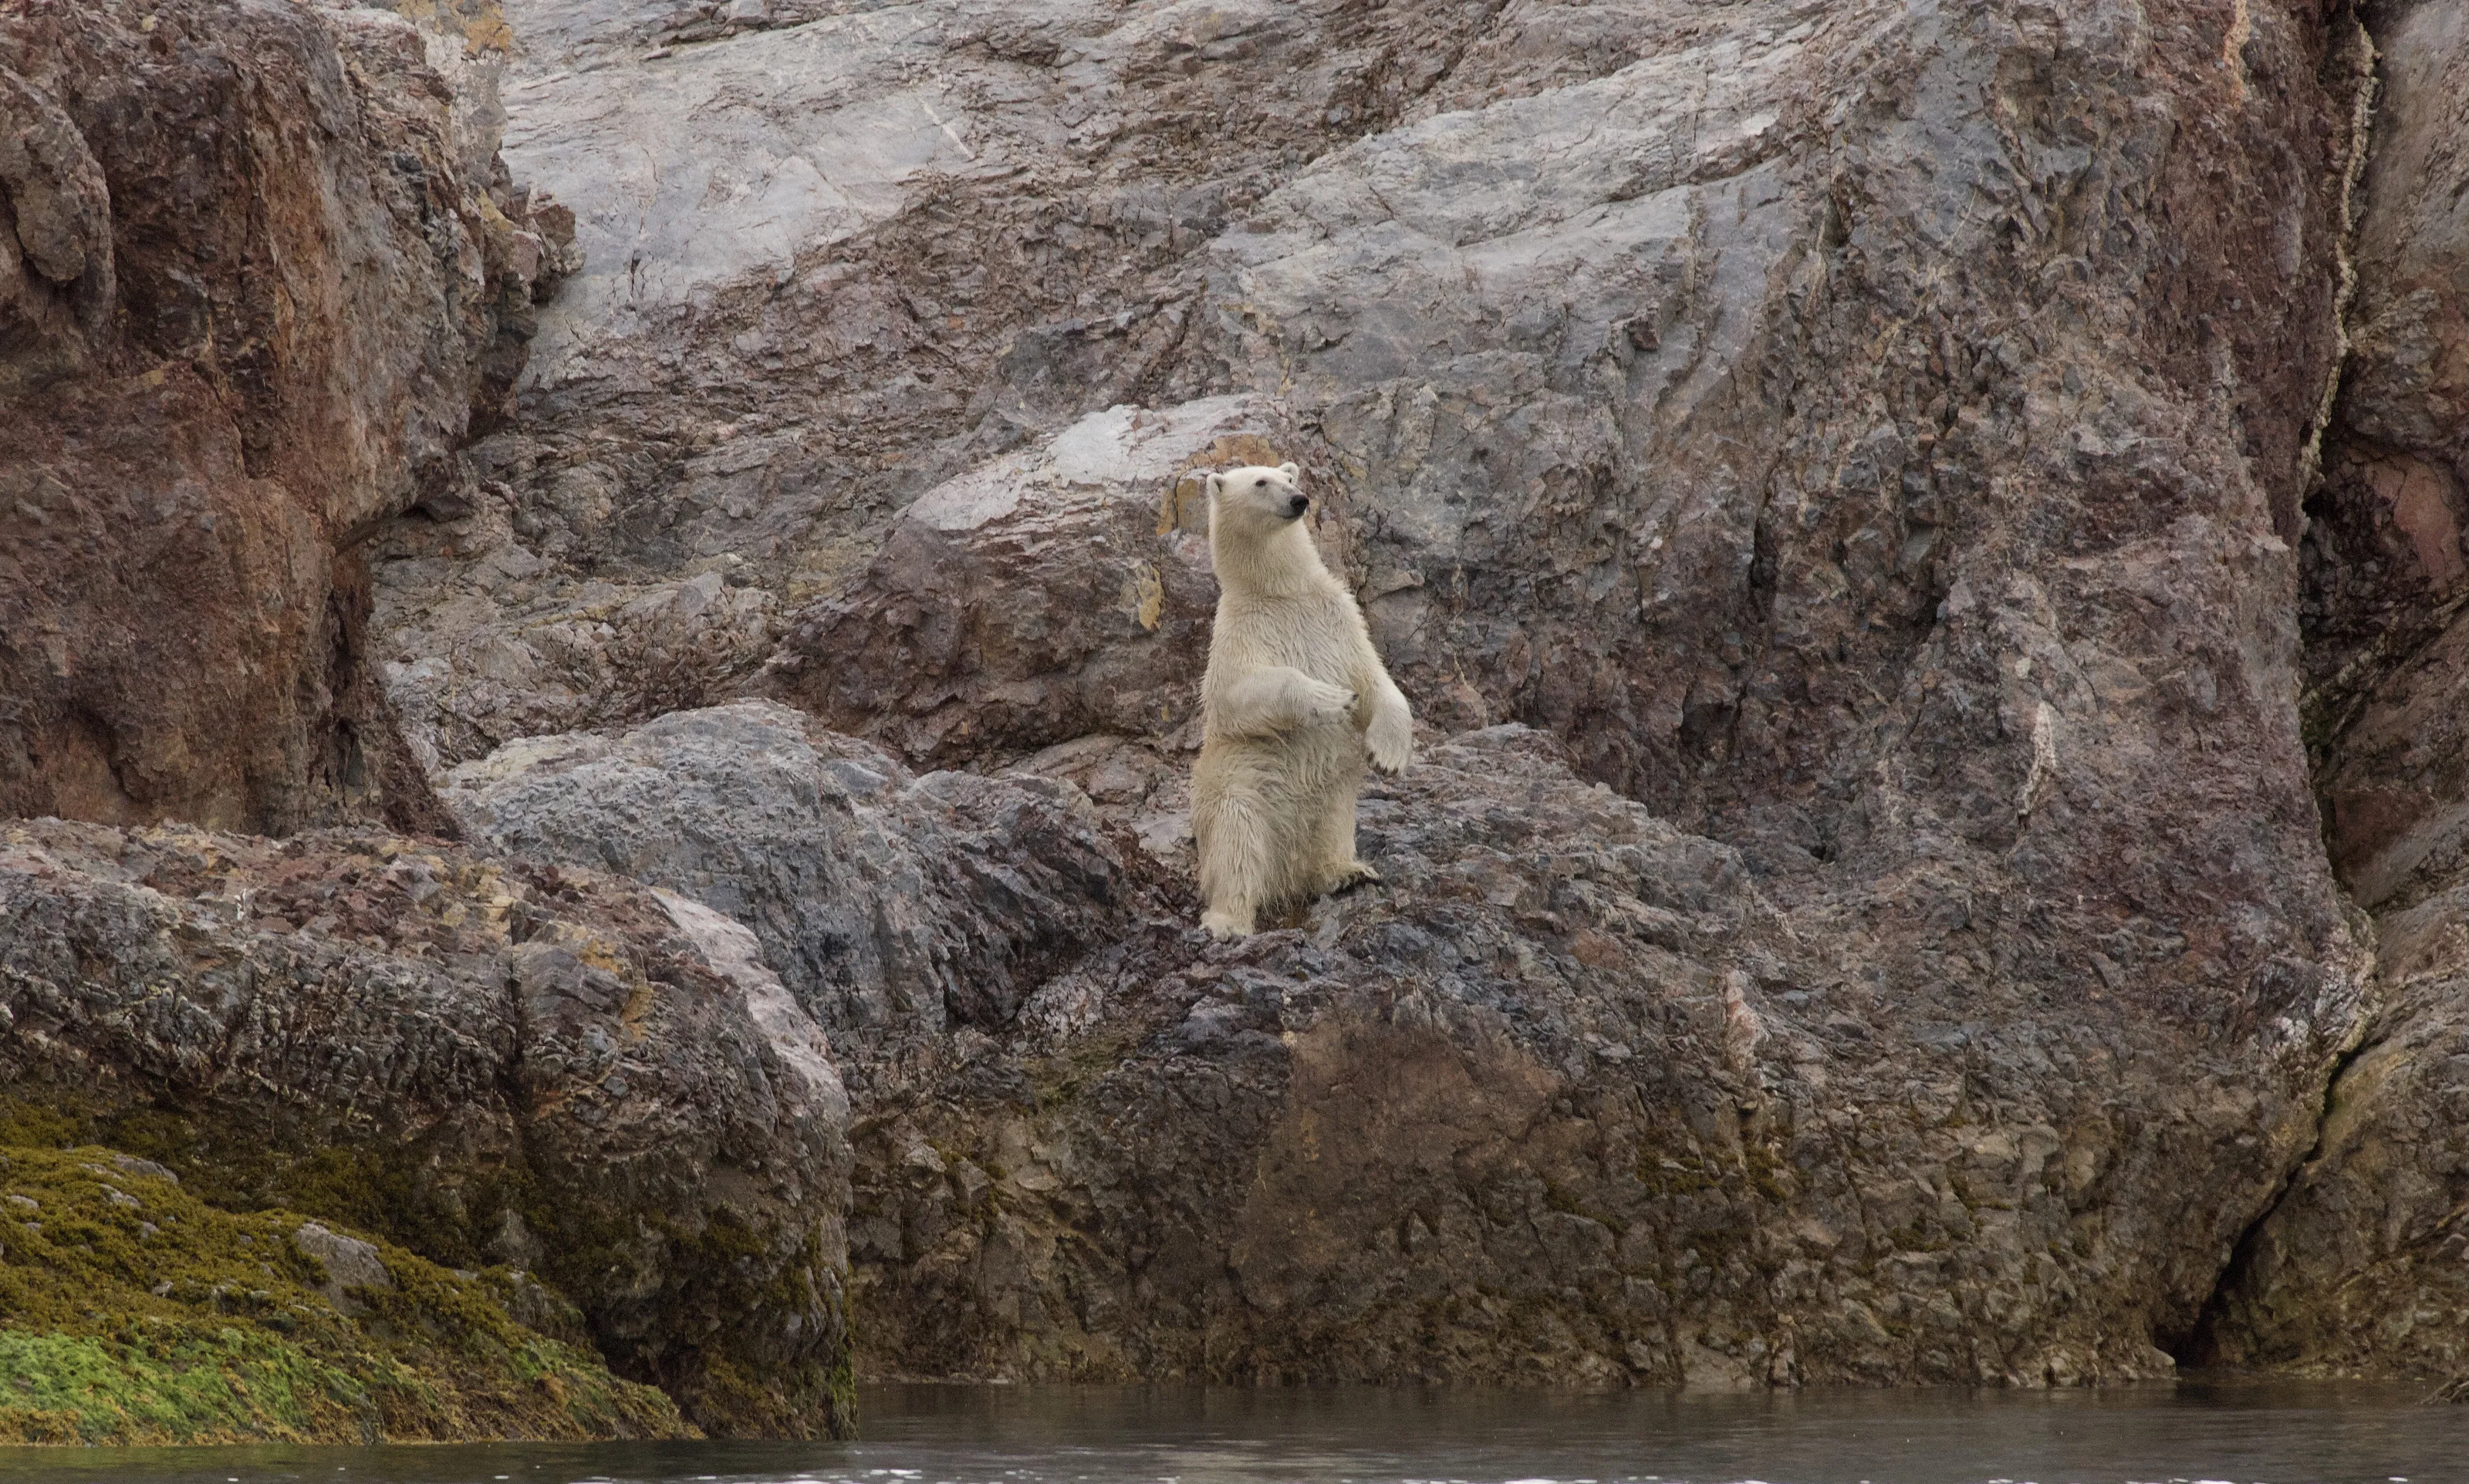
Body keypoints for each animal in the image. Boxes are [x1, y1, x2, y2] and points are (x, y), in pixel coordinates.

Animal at [1191, 461, 1413, 939]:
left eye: (1288, 477)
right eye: (1260, 482)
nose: (1299, 499)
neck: (1281, 592)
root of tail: (1282, 876)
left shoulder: (1338, 615)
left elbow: (1375, 680)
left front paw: (1387, 754)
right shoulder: (1238, 632)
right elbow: (1237, 696)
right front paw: (1330, 697)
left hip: (1329, 789)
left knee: (1332, 819)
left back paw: (1346, 873)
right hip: (1236, 786)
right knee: (1237, 844)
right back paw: (1227, 922)